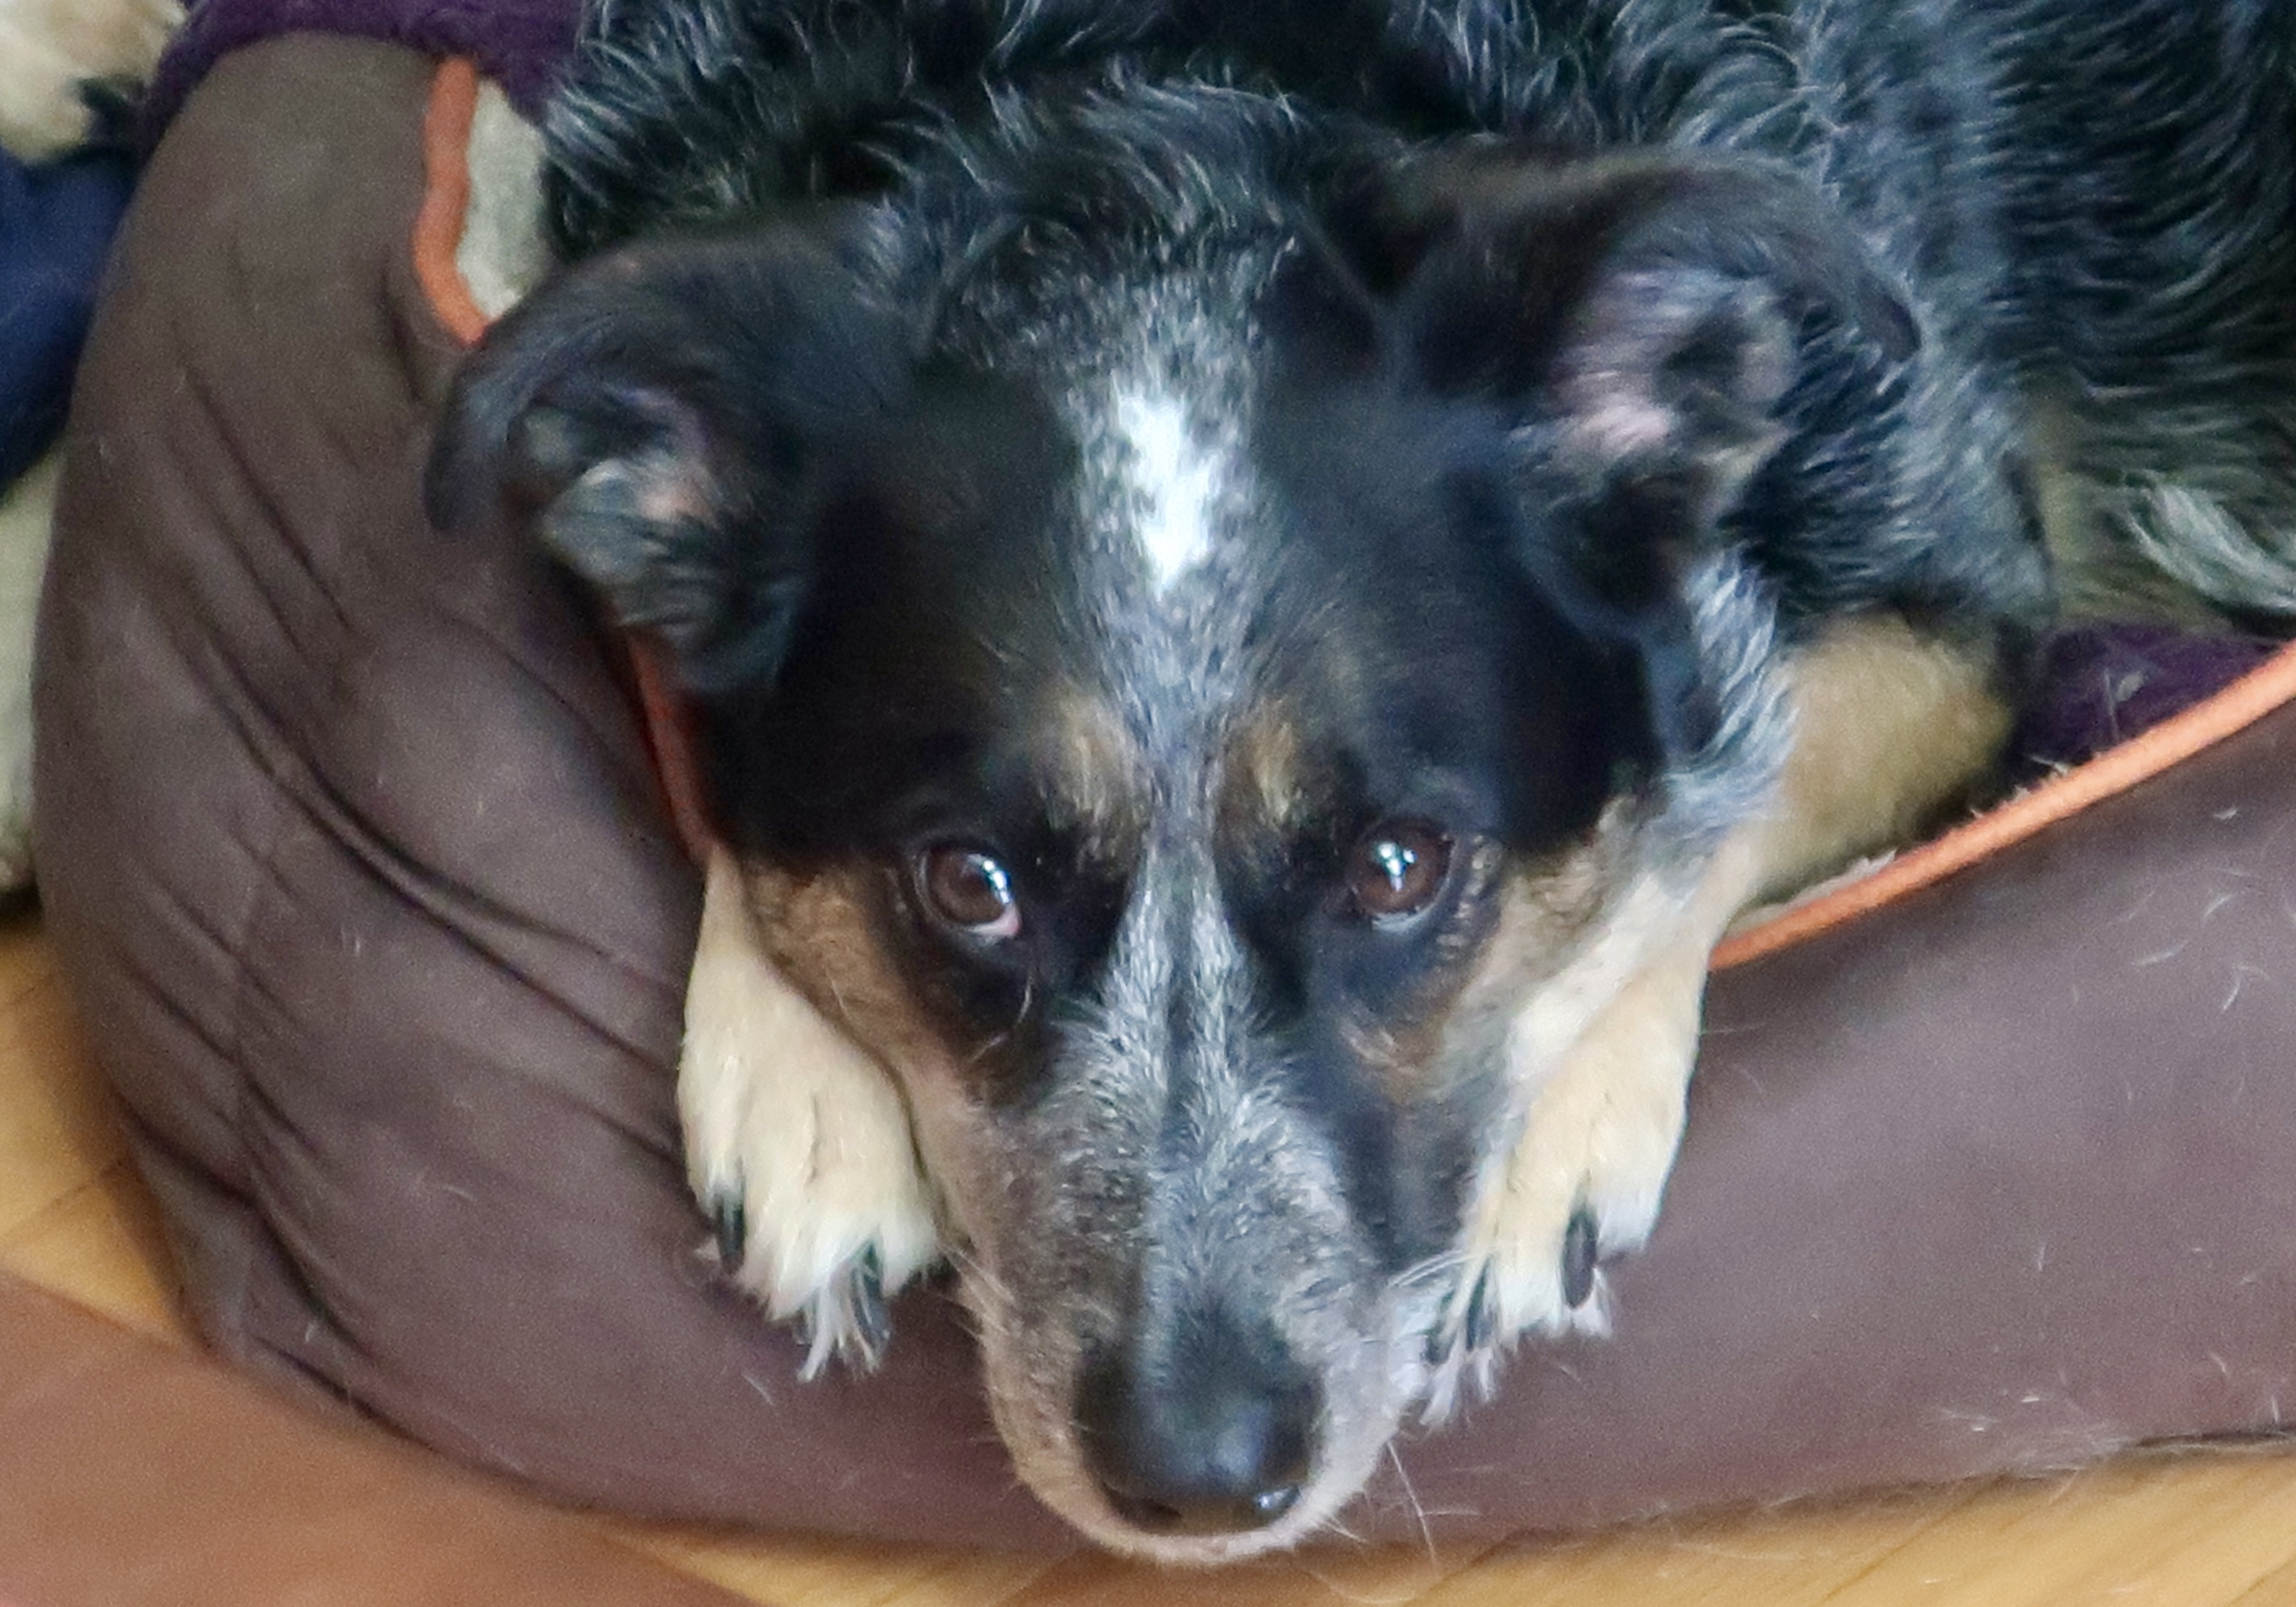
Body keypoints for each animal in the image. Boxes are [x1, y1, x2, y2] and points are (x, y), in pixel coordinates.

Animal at [426, 0, 2296, 1563]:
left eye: (1402, 865)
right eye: (969, 882)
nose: (1198, 1472)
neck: (1161, 117)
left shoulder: (1948, 581)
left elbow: (1720, 771)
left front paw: (1557, 1123)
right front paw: (795, 1067)